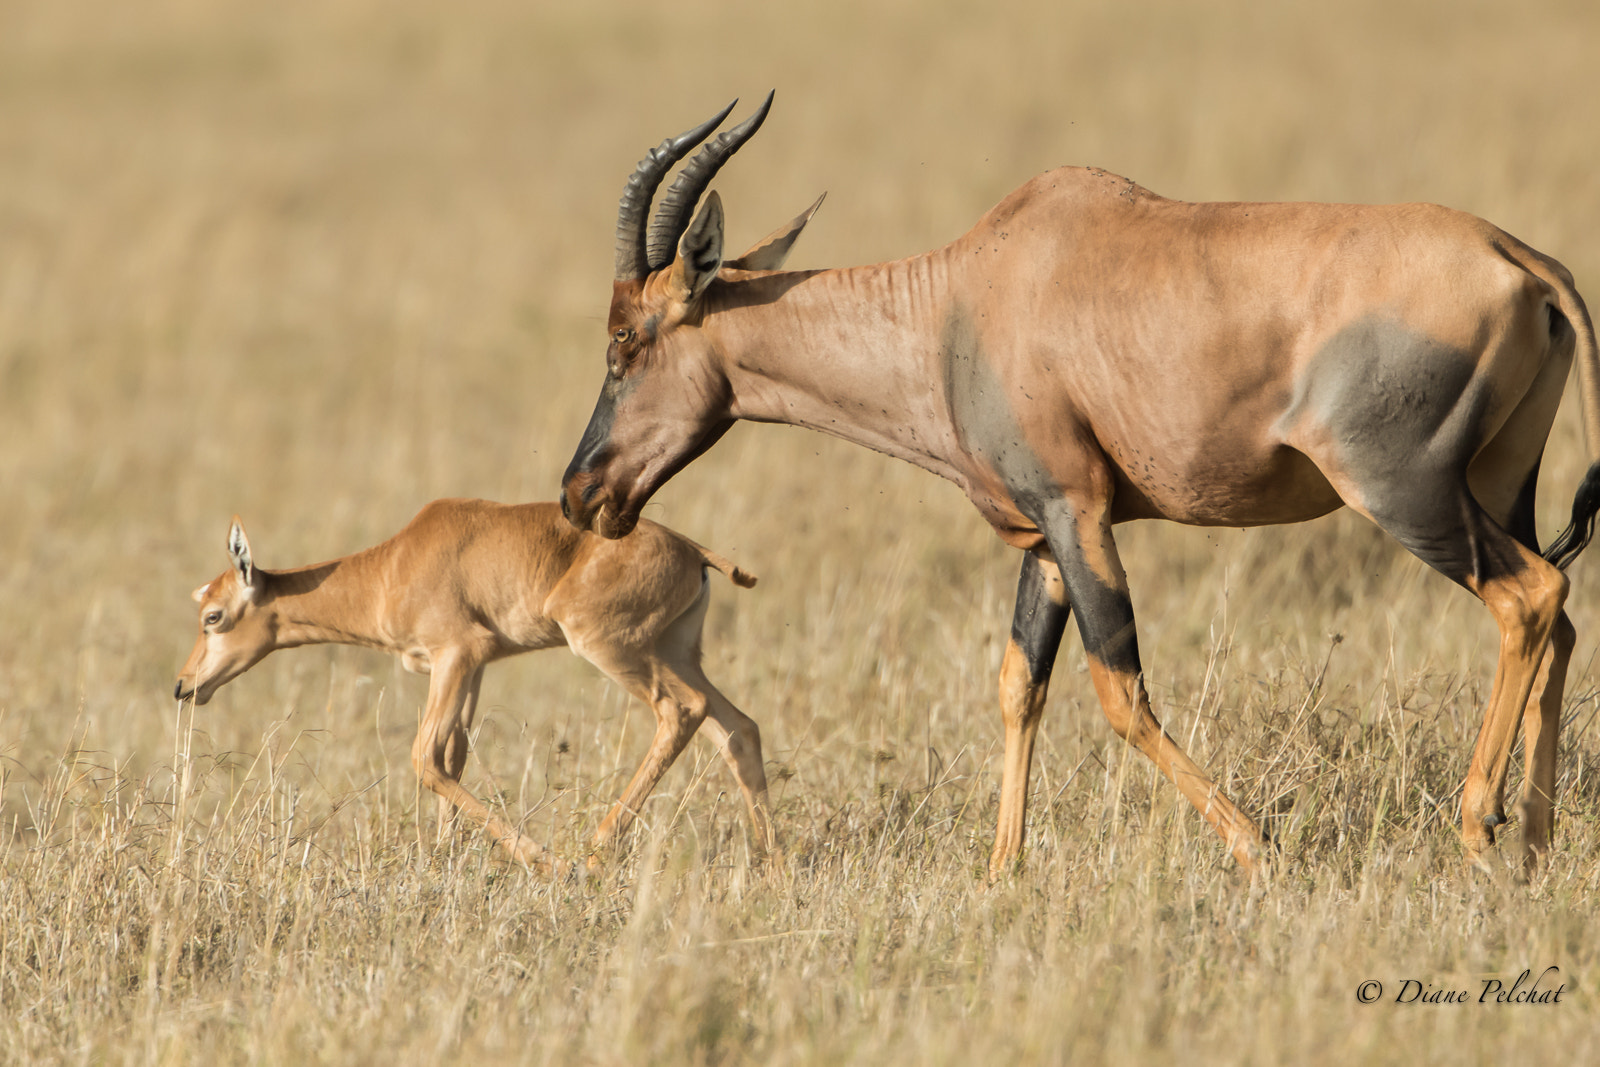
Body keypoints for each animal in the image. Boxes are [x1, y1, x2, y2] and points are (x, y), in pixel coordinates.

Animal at [175, 502, 774, 876]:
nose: (184, 686)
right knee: (737, 727)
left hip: (610, 647)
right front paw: (442, 861)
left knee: (682, 710)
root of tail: (693, 551)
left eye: (213, 616)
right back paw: (774, 863)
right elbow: (453, 757)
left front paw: (546, 862)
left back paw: (591, 855)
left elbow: (424, 758)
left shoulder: (455, 655)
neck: (397, 561)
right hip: (676, 652)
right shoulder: (474, 667)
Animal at [563, 93, 1600, 876]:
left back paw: (1479, 824)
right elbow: (1020, 683)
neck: (961, 297)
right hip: (1496, 484)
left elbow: (1119, 688)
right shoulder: (1045, 537)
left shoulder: (1080, 513)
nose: (580, 495)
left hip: (1403, 491)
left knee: (1528, 594)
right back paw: (1537, 837)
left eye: (624, 340)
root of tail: (1523, 261)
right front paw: (1001, 873)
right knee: (1559, 610)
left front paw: (1258, 849)